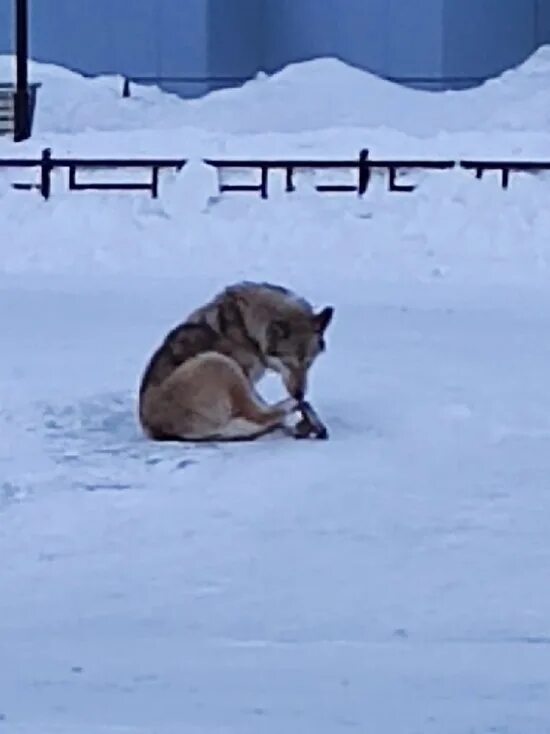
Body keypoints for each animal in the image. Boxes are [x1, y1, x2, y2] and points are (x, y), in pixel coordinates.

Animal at [140, 282, 334, 442]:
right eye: (288, 363)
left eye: (309, 363)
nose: (299, 393)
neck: (247, 329)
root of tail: (160, 431)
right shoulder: (246, 376)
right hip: (219, 362)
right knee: (262, 416)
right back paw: (293, 409)